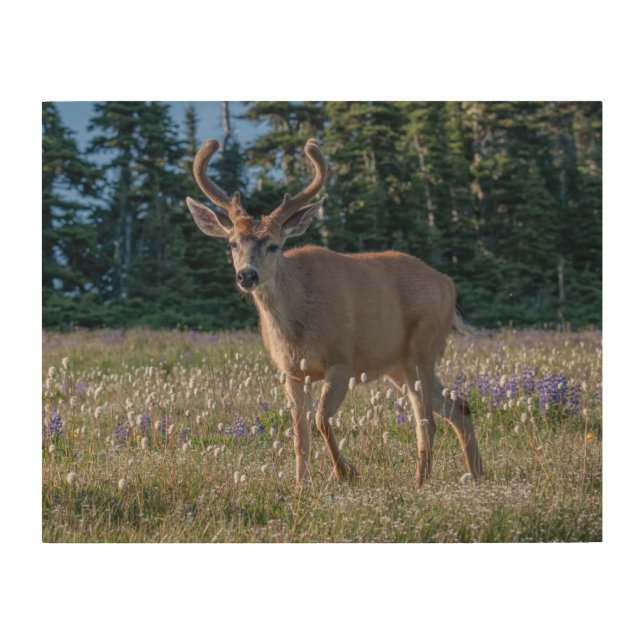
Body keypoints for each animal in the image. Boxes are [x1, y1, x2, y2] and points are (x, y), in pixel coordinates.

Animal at [186, 138, 483, 487]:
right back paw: (475, 472)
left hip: (422, 347)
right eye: (232, 243)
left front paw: (345, 472)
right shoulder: (292, 372)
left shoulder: (342, 361)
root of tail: (448, 284)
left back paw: (422, 480)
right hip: (398, 366)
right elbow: (300, 435)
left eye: (274, 244)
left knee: (427, 421)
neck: (296, 326)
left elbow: (320, 420)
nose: (247, 275)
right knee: (457, 406)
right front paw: (301, 484)